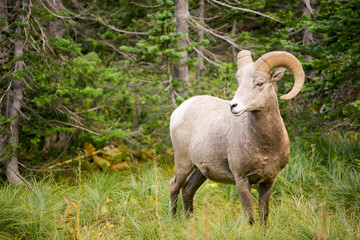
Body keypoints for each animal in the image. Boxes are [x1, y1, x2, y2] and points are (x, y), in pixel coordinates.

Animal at [170, 49, 306, 224]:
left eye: (260, 83)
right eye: (239, 83)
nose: (233, 106)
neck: (264, 147)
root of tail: (179, 110)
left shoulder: (269, 181)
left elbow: (263, 215)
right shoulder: (241, 180)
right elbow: (250, 217)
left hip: (200, 171)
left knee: (187, 190)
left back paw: (189, 222)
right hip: (183, 163)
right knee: (174, 186)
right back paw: (172, 220)